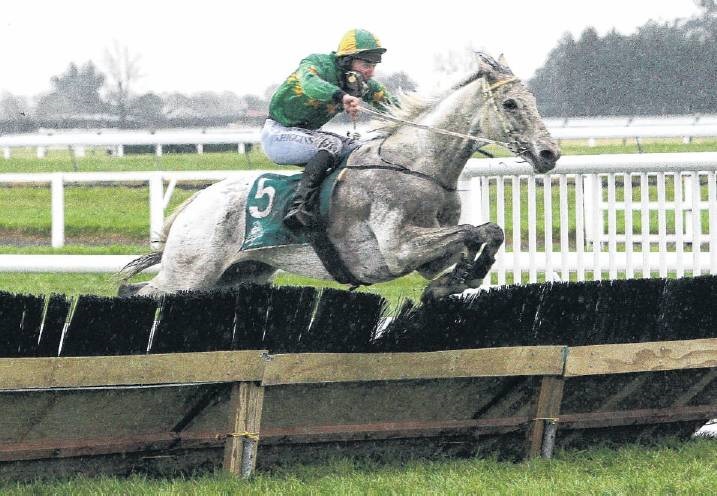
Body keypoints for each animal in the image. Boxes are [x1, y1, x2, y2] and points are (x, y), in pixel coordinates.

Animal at [120, 54, 560, 302]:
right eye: (510, 103)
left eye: (535, 100)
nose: (549, 153)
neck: (416, 166)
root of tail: (195, 204)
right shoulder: (397, 248)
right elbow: (475, 230)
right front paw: (457, 279)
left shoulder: (427, 255)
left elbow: (485, 232)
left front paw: (456, 280)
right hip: (189, 272)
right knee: (137, 293)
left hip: (237, 276)